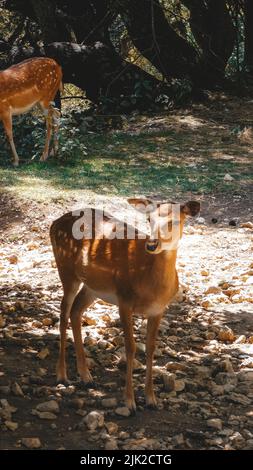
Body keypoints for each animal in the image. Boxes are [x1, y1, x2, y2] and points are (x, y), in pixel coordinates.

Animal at [50, 198, 201, 412]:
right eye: (149, 219)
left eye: (175, 221)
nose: (152, 244)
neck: (152, 287)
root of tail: (54, 223)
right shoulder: (124, 300)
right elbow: (130, 347)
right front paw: (130, 402)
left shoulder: (158, 310)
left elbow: (151, 347)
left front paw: (151, 399)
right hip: (66, 270)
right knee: (63, 314)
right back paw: (62, 375)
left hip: (92, 287)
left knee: (75, 311)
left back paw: (86, 376)